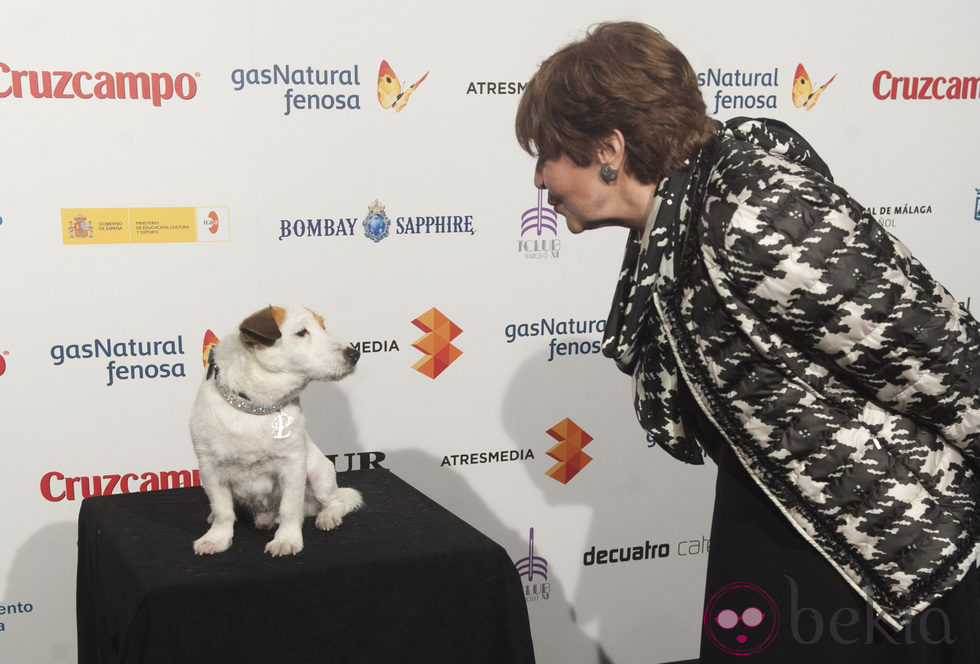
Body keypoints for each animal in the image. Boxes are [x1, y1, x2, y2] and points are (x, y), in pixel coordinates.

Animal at [189, 306, 362, 556]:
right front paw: (217, 538)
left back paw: (327, 516)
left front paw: (286, 539)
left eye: (323, 327)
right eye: (302, 332)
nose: (355, 353)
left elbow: (290, 508)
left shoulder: (293, 464)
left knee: (334, 501)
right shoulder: (210, 467)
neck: (254, 408)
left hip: (321, 476)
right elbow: (223, 511)